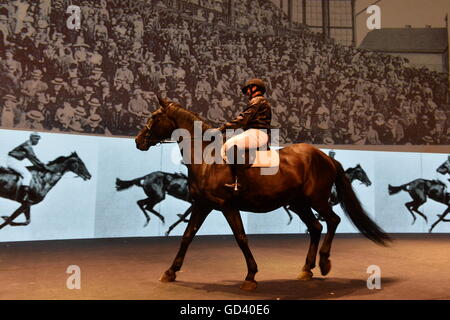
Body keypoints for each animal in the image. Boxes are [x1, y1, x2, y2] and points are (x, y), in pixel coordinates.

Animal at [134, 99, 390, 292]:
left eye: (154, 117)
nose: (138, 141)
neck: (207, 159)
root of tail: (324, 156)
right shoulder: (202, 205)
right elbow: (187, 236)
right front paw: (170, 272)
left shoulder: (227, 206)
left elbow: (241, 238)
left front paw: (250, 276)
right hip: (299, 204)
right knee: (316, 227)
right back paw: (307, 269)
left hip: (316, 200)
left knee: (332, 221)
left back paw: (325, 262)